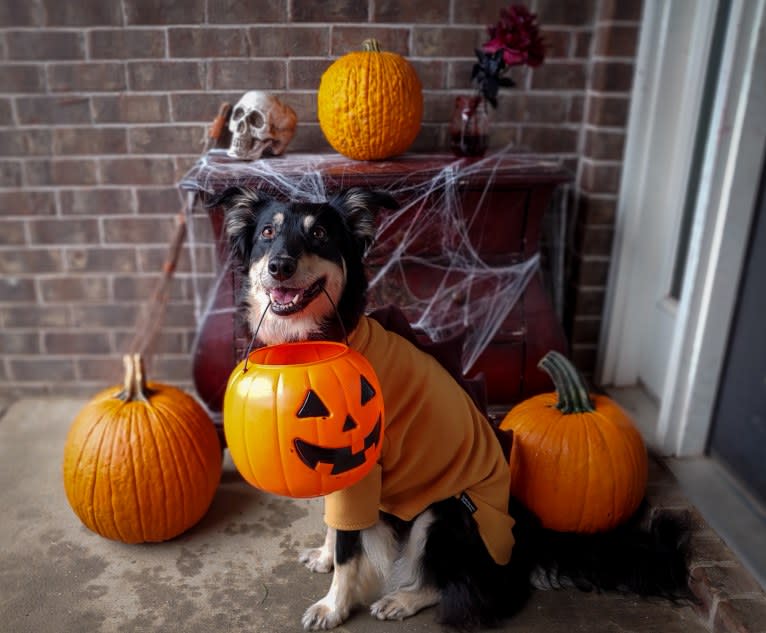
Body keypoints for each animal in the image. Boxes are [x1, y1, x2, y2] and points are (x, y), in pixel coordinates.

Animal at [212, 185, 696, 628]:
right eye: (268, 233)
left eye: (319, 235)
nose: (279, 265)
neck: (316, 339)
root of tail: (526, 538)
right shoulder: (337, 471)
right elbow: (337, 523)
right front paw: (326, 556)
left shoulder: (362, 467)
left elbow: (351, 546)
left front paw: (333, 606)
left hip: (443, 513)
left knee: (465, 587)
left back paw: (403, 598)